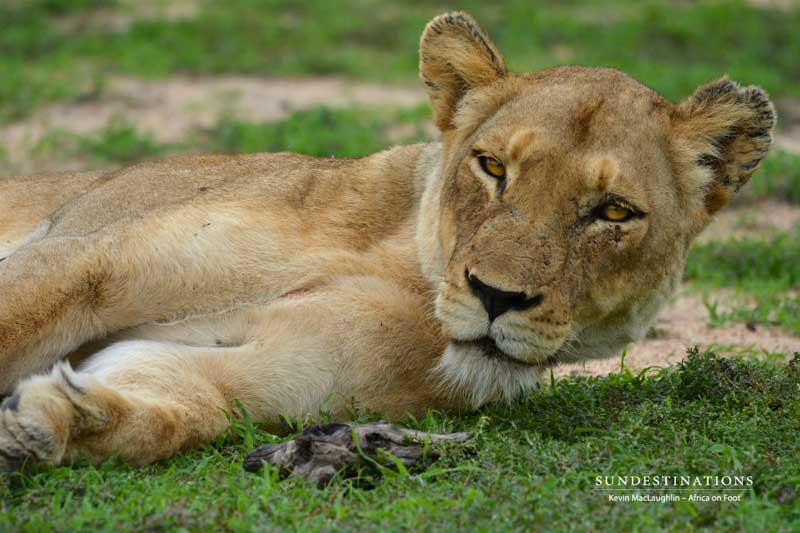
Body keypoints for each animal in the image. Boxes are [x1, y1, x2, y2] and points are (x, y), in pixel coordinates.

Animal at [0, 12, 774, 469]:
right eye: (492, 167)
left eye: (613, 212)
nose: (495, 297)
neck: (405, 273)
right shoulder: (88, 257)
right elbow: (22, 315)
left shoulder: (256, 375)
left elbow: (170, 407)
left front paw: (43, 423)